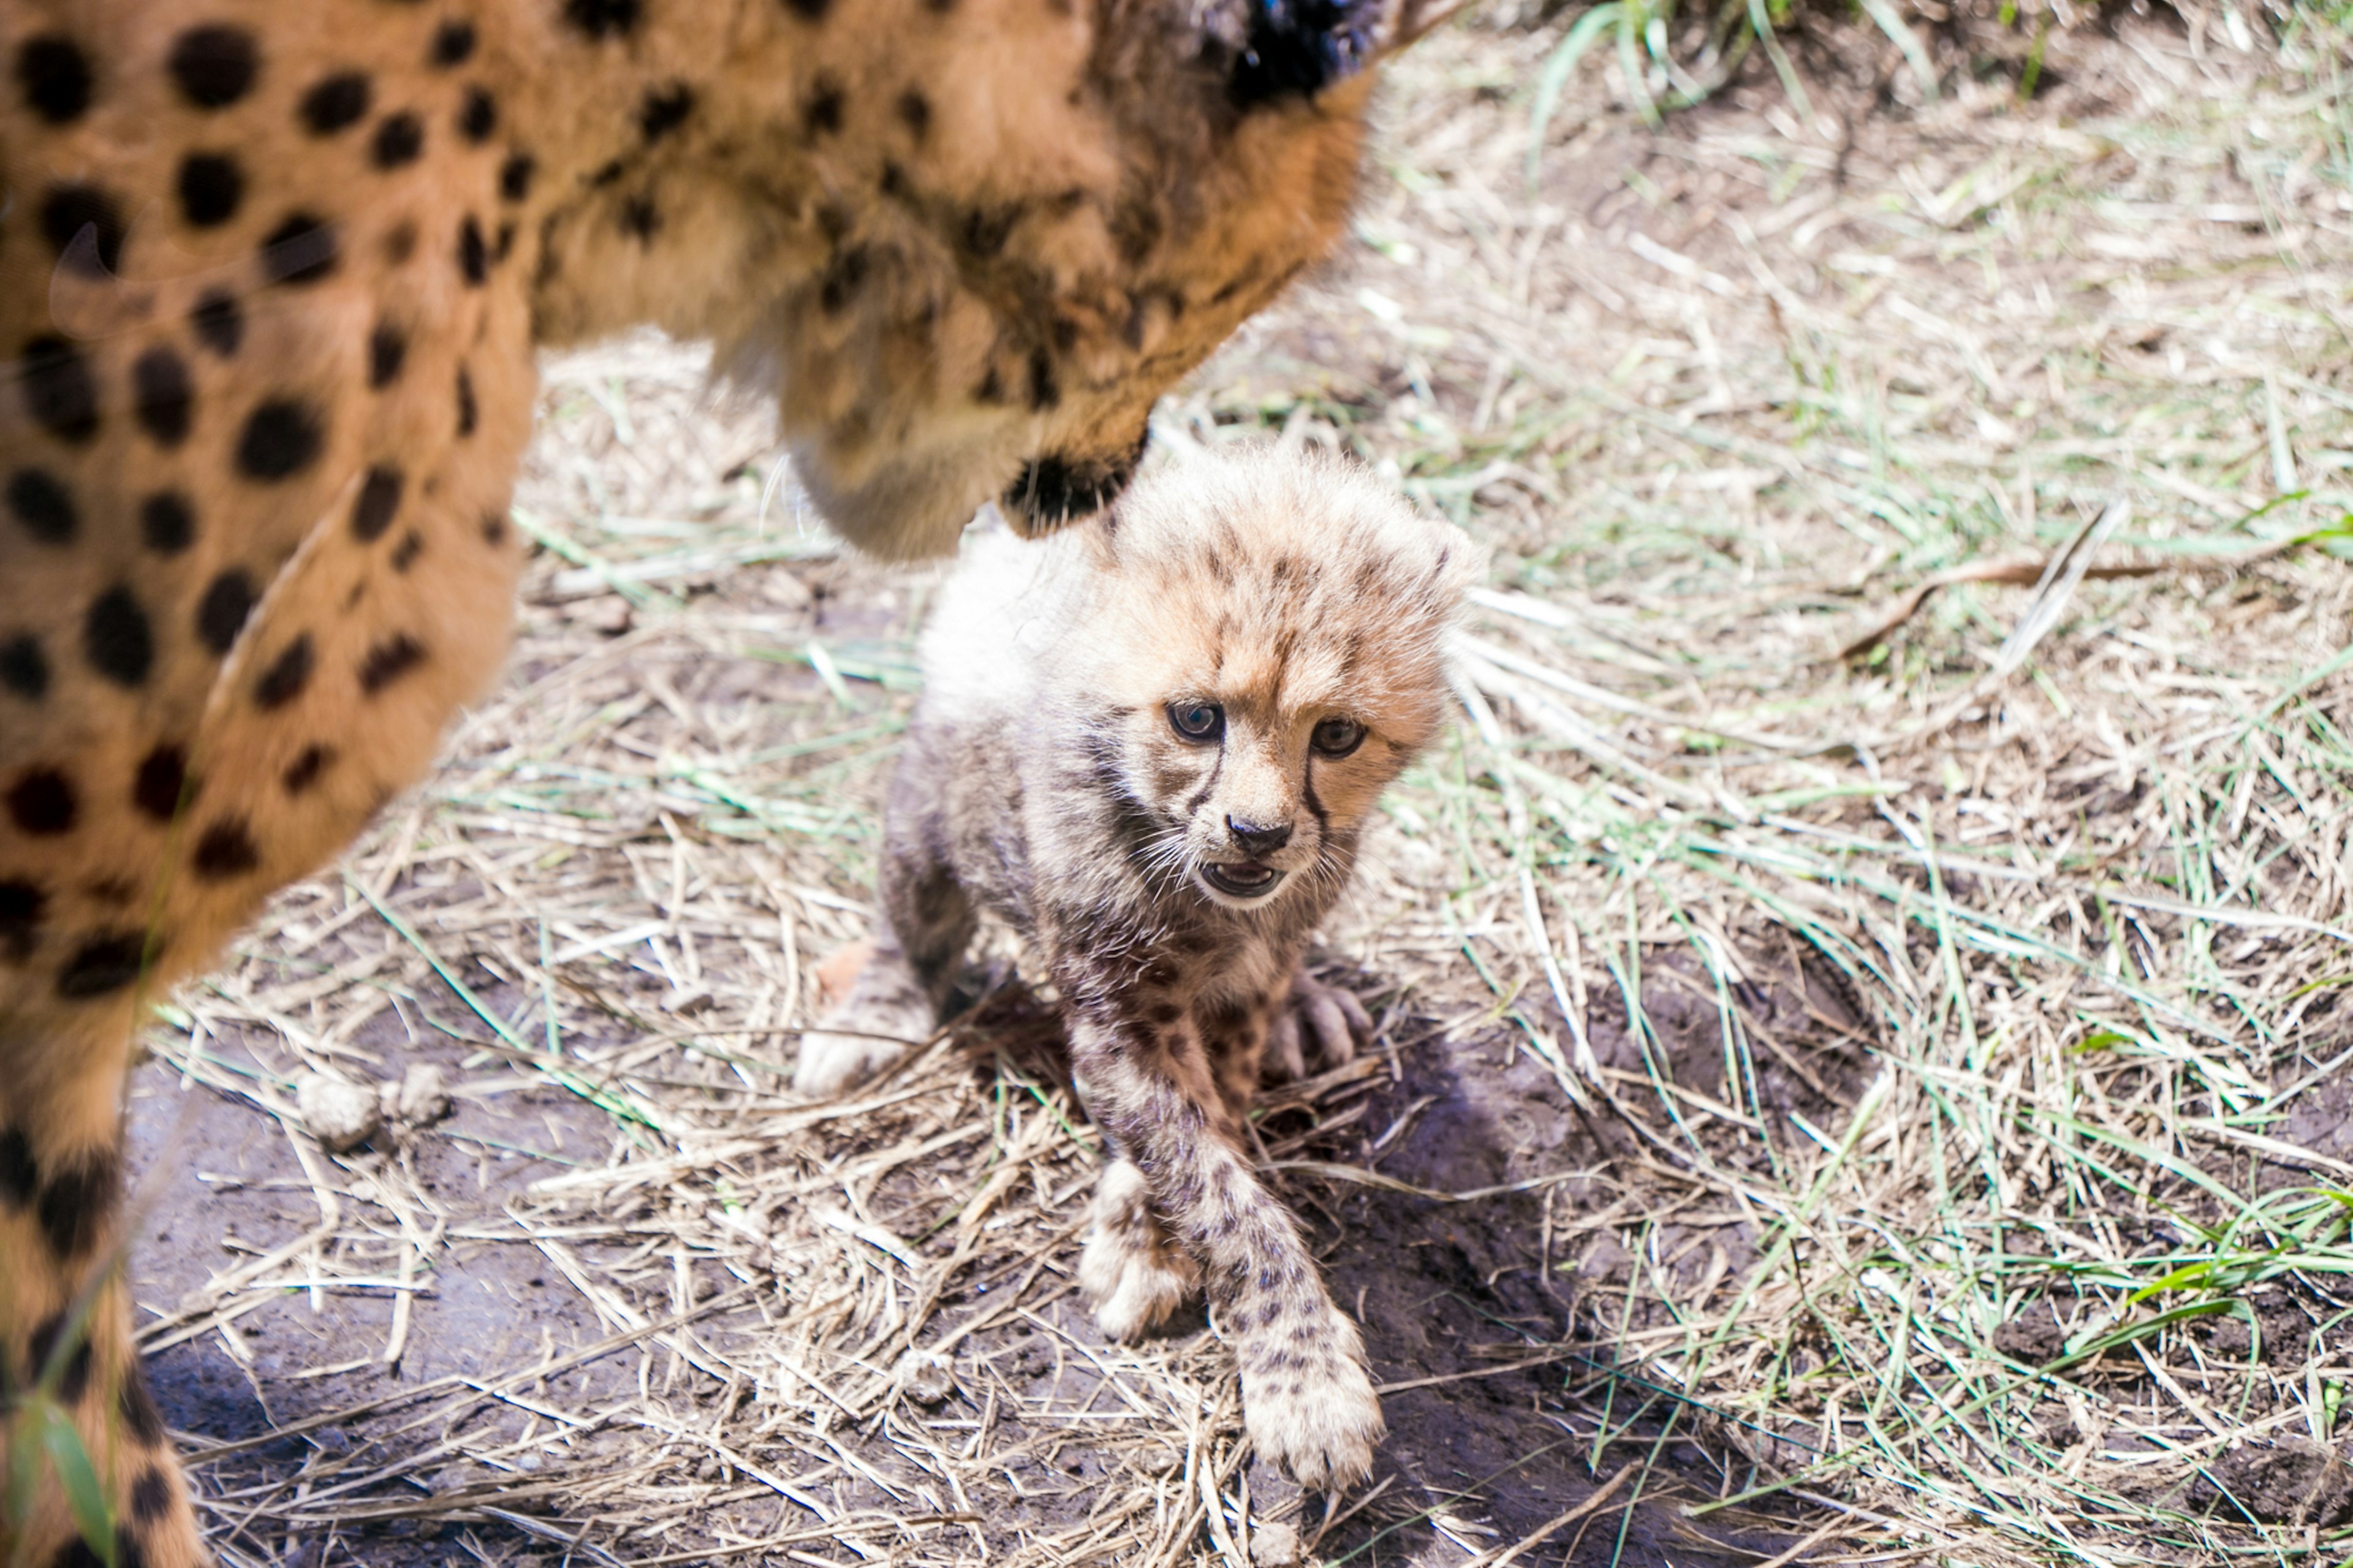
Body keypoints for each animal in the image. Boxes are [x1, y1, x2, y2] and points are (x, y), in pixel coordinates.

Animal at [0, 2, 1440, 1553]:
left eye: (1336, 734)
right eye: (1195, 715)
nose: (1259, 830)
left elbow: (1211, 1125)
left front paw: (1160, 1239)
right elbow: (1210, 1167)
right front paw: (1301, 1376)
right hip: (928, 809)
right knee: (912, 914)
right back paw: (875, 1016)